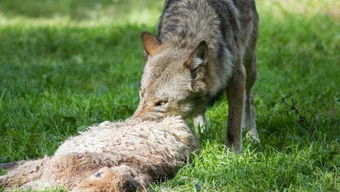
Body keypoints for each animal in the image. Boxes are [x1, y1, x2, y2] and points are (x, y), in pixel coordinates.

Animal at [133, 0, 260, 153]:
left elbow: (233, 124)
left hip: (250, 67)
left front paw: (233, 154)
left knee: (249, 98)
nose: (131, 125)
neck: (187, 34)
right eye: (142, 94)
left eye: (161, 102)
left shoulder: (237, 77)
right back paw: (202, 131)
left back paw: (252, 136)